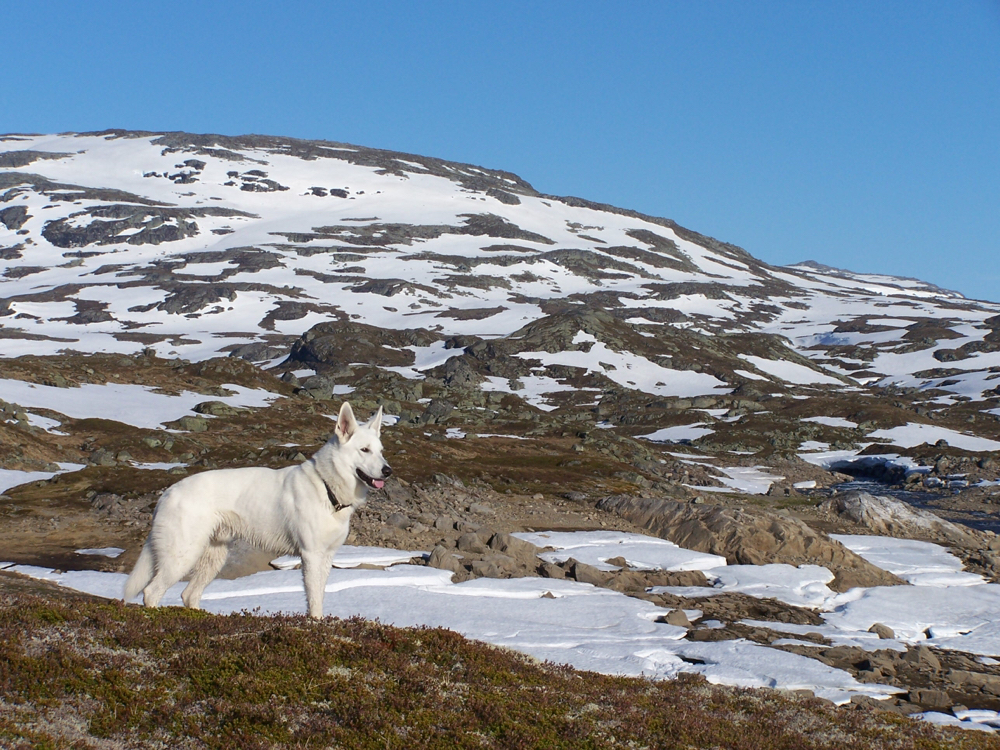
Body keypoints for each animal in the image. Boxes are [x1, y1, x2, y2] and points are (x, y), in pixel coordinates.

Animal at [125, 402, 390, 620]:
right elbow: (314, 601)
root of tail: (167, 494)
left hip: (213, 558)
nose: (388, 471)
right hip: (181, 557)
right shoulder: (311, 555)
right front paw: (316, 626)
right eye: (364, 450)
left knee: (188, 595)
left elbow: (320, 597)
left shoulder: (326, 556)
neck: (326, 487)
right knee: (151, 592)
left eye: (380, 451)